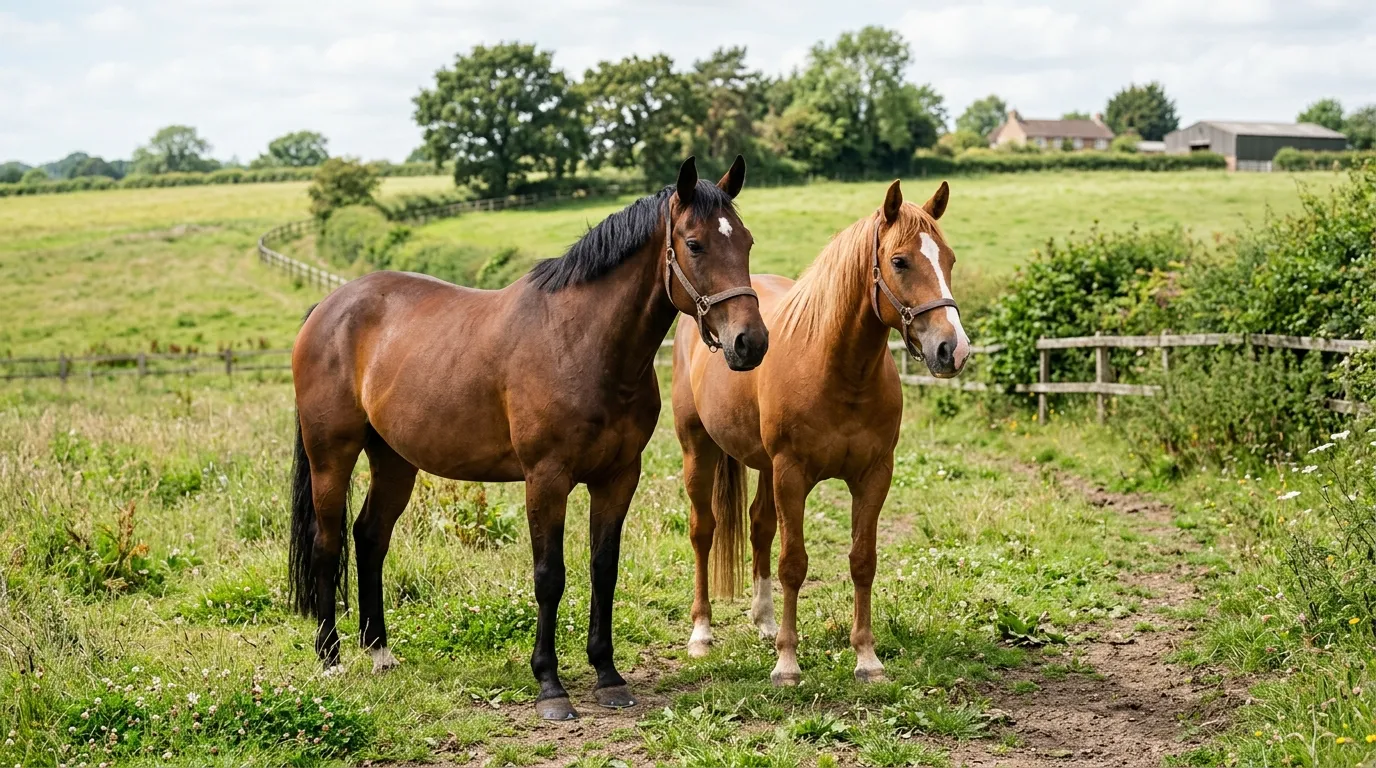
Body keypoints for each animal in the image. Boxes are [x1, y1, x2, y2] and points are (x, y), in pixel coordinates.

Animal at [288, 156, 769, 720]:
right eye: (694, 244)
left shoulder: (618, 477)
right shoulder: (546, 479)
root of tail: (329, 306)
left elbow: (603, 569)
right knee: (328, 543)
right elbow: (549, 576)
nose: (750, 342)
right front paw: (550, 686)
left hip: (394, 460)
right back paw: (330, 659)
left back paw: (380, 652)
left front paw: (608, 675)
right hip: (331, 456)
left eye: (746, 242)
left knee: (369, 536)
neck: (581, 342)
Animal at [670, 180, 969, 685]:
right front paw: (788, 663)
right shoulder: (792, 474)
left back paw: (765, 622)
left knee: (759, 526)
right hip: (699, 450)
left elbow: (862, 561)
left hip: (763, 466)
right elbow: (794, 564)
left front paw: (866, 658)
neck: (837, 369)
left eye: (947, 258)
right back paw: (702, 634)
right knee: (703, 530)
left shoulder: (873, 476)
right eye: (900, 261)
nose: (954, 349)